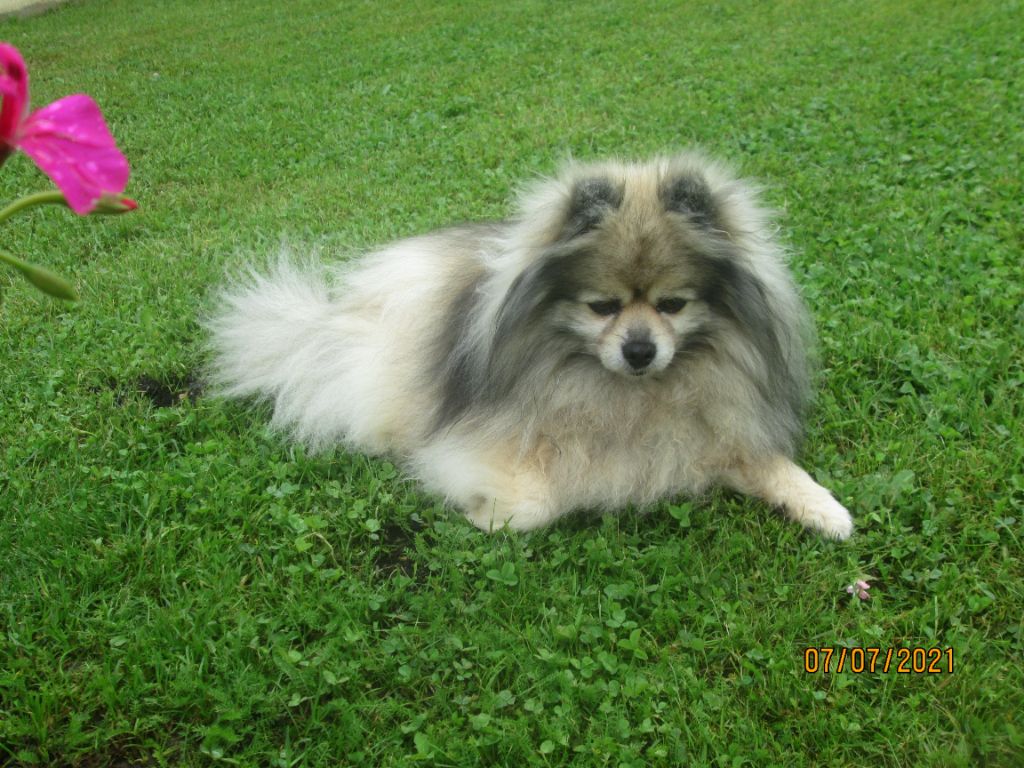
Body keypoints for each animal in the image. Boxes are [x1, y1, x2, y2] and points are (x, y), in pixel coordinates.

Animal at [206, 152, 853, 539]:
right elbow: (536, 502)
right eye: (602, 306)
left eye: (673, 305)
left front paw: (826, 508)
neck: (629, 395)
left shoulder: (716, 431)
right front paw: (483, 509)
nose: (640, 351)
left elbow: (770, 463)